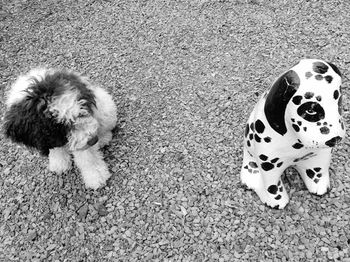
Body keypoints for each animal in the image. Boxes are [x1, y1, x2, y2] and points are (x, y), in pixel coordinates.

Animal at [241, 58, 344, 209]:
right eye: (310, 110)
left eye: (339, 101)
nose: (336, 138)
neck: (296, 143)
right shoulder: (268, 165)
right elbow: (272, 187)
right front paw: (277, 201)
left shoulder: (320, 156)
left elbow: (318, 171)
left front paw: (319, 186)